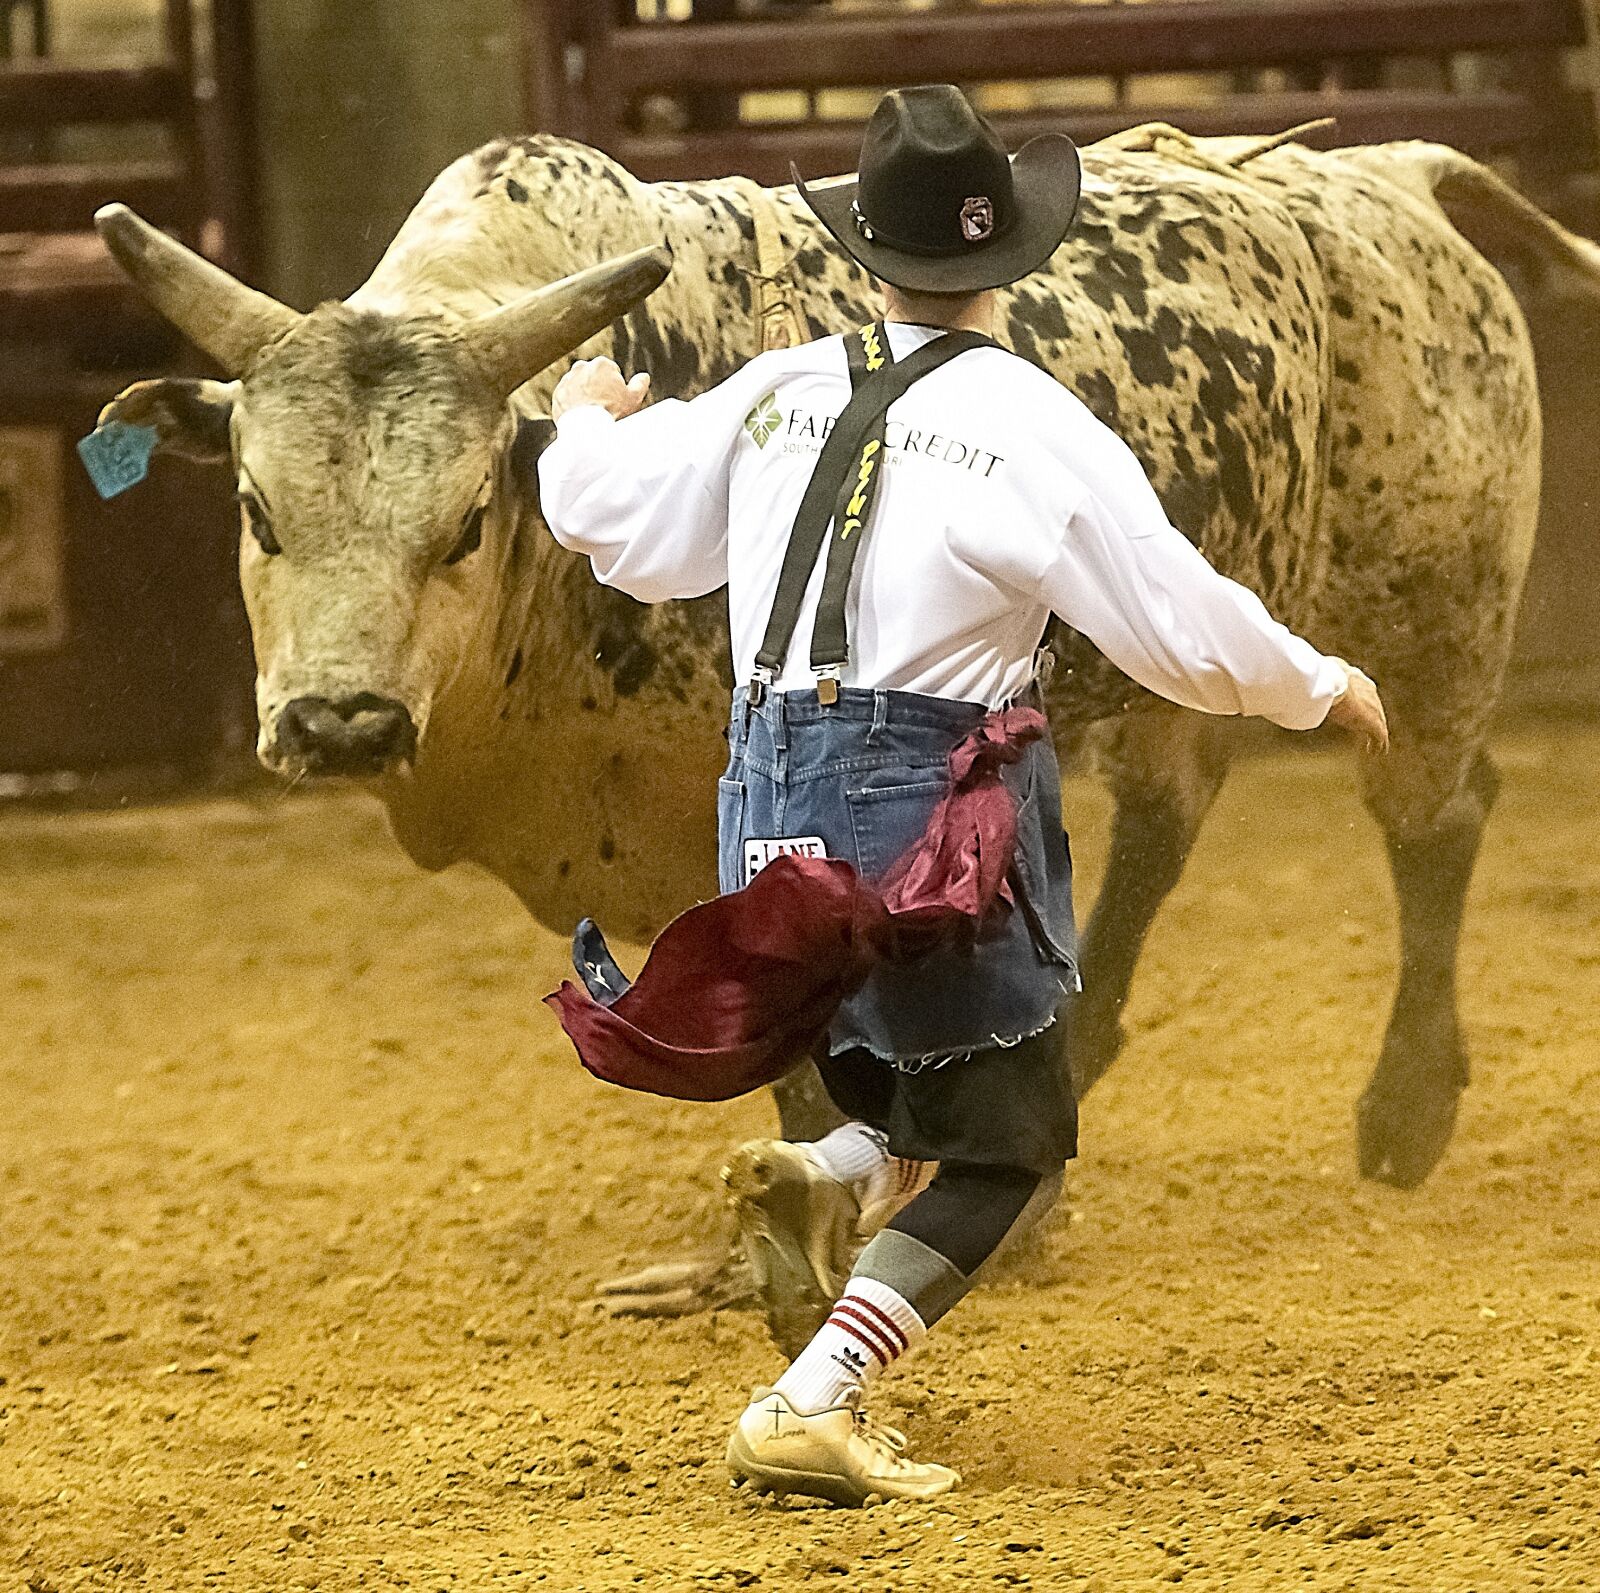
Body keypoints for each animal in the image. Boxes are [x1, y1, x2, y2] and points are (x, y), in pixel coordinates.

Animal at [100, 127, 1600, 1221]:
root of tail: (1390, 175)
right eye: (256, 510)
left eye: (462, 522)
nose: (341, 722)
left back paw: (1405, 1109)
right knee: (1169, 819)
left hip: (1432, 621)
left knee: (1436, 822)